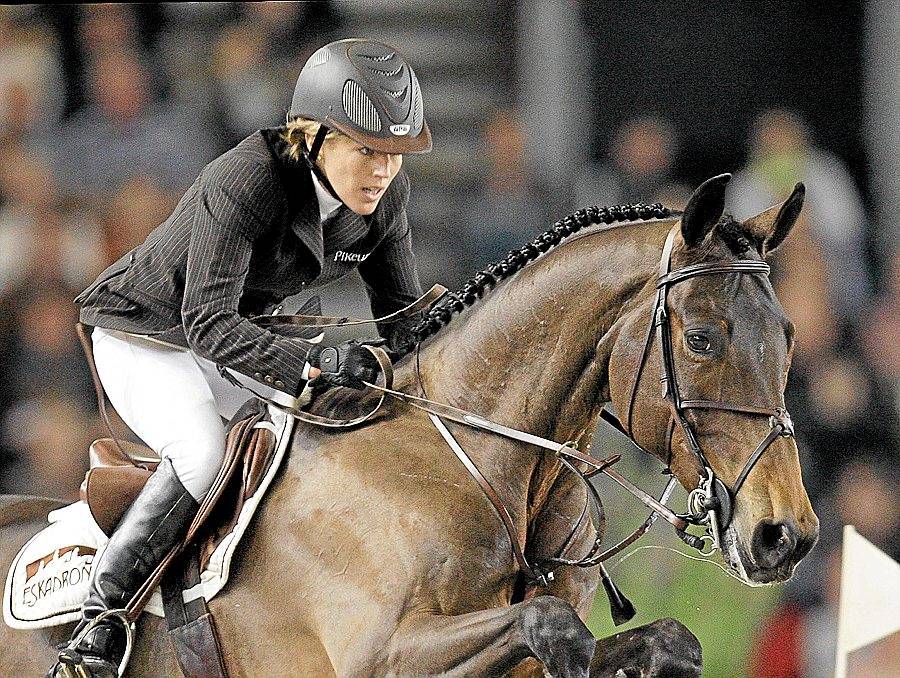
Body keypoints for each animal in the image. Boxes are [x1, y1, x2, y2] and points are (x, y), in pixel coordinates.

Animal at [0, 174, 818, 677]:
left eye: (788, 337)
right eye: (702, 340)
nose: (787, 536)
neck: (479, 467)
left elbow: (667, 640)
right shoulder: (382, 654)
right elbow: (552, 627)